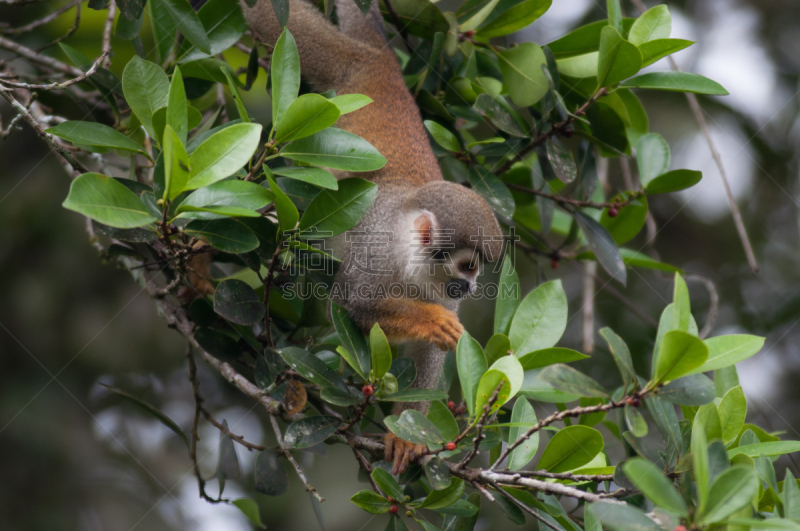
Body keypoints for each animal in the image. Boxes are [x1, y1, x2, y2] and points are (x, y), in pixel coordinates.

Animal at [241, 0, 504, 474]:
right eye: (468, 265)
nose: (472, 287)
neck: (409, 257)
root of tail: (381, 64)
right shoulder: (374, 245)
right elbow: (351, 303)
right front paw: (428, 320)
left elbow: (428, 360)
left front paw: (407, 435)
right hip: (338, 64)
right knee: (269, 20)